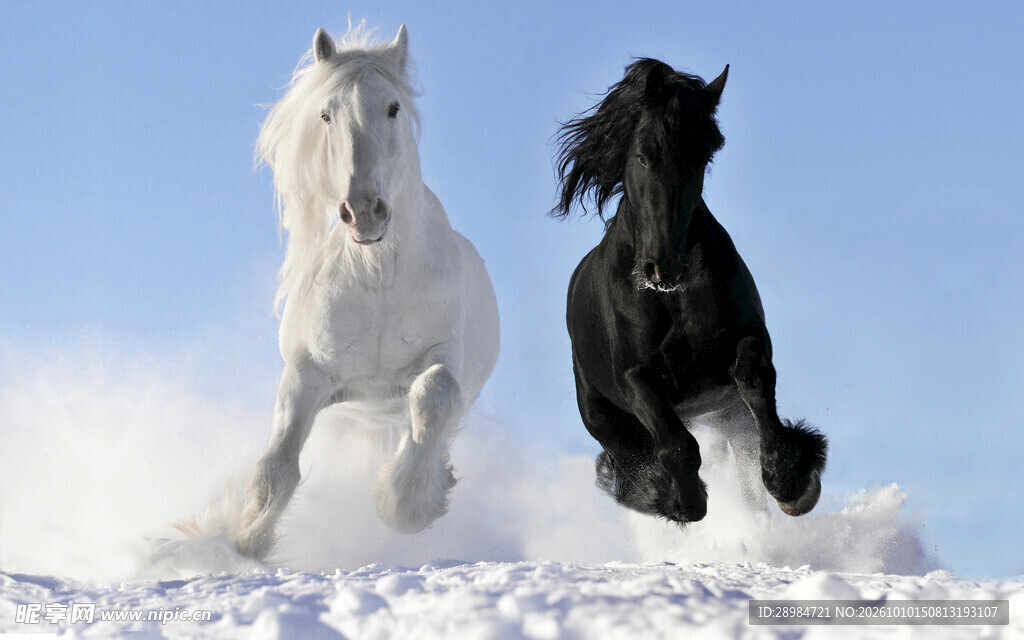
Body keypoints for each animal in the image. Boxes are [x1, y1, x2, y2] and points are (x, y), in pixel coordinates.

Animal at [233, 24, 500, 560]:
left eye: (393, 107)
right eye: (325, 113)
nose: (363, 212)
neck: (377, 277)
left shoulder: (444, 358)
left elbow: (435, 394)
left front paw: (404, 506)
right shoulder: (308, 373)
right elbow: (277, 465)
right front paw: (245, 540)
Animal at [552, 59, 827, 526]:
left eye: (701, 157)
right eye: (643, 155)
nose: (662, 267)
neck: (672, 298)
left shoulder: (747, 341)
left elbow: (755, 382)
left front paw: (791, 480)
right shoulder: (635, 377)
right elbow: (675, 444)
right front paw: (682, 499)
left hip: (726, 413)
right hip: (603, 417)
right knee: (632, 460)